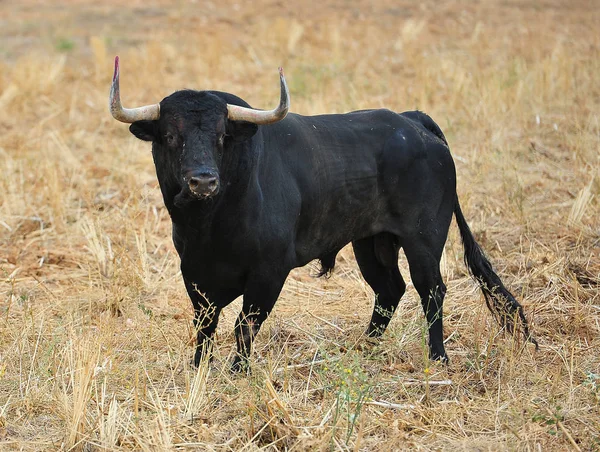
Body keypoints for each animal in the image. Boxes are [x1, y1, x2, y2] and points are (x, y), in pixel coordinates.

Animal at [106, 55, 536, 370]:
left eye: (222, 136)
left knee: (430, 291)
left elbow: (246, 324)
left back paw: (438, 358)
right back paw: (365, 347)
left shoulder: (269, 272)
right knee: (389, 290)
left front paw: (237, 371)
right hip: (372, 242)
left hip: (423, 240)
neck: (210, 226)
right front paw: (198, 368)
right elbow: (205, 325)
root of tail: (411, 120)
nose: (203, 181)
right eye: (170, 136)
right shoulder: (194, 272)